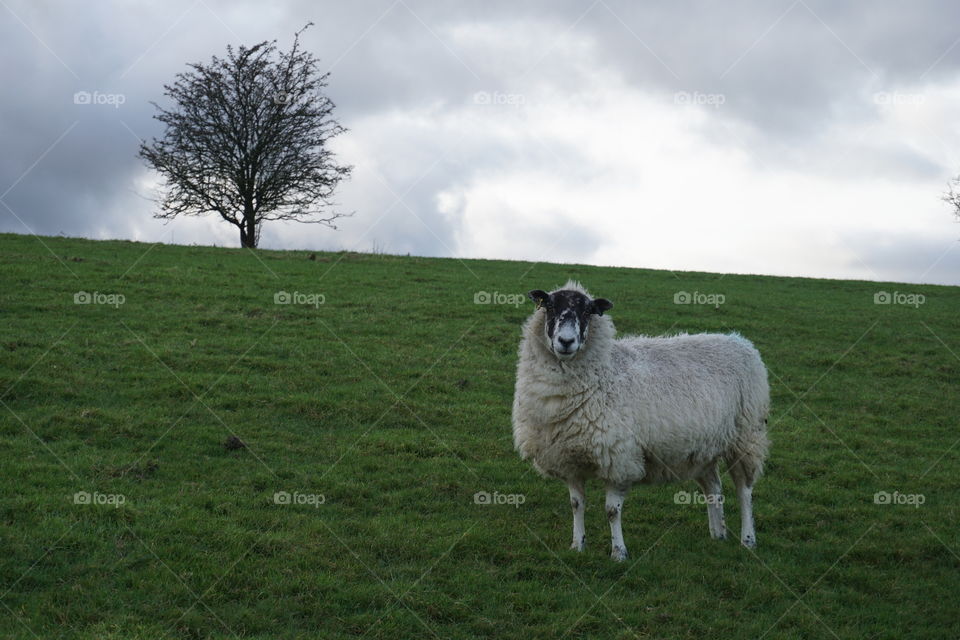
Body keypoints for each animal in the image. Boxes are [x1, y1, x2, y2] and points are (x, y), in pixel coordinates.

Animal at [510, 280, 772, 560]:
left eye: (588, 311)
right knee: (714, 488)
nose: (566, 341)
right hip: (703, 448)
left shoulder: (619, 458)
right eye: (549, 306)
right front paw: (577, 545)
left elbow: (611, 511)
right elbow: (576, 504)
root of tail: (740, 341)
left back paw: (748, 539)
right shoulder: (568, 457)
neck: (605, 371)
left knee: (744, 491)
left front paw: (619, 552)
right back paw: (718, 534)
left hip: (746, 436)